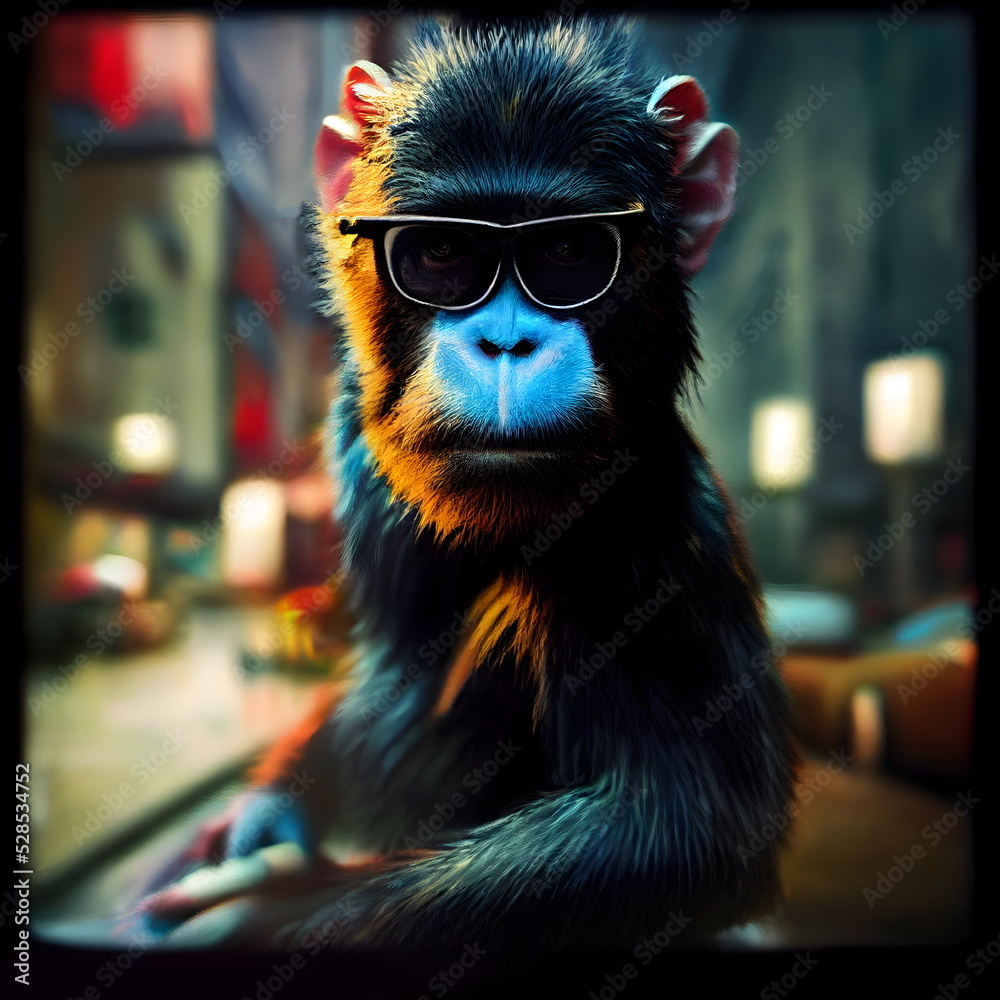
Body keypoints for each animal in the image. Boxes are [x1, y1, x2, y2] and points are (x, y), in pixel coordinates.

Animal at [137, 14, 797, 986]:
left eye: (570, 252)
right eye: (442, 252)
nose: (507, 340)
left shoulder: (641, 536)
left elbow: (685, 829)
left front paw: (260, 917)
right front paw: (260, 819)